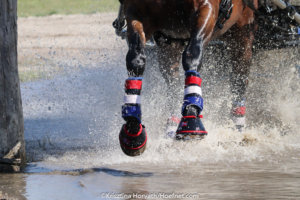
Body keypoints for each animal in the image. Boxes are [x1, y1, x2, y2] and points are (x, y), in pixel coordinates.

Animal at [116, 0, 258, 156]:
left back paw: (237, 126)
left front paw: (191, 117)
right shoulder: (138, 14)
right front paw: (133, 128)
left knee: (239, 78)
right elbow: (136, 60)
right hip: (170, 43)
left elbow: (192, 54)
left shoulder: (206, 8)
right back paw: (170, 128)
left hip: (241, 34)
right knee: (172, 83)